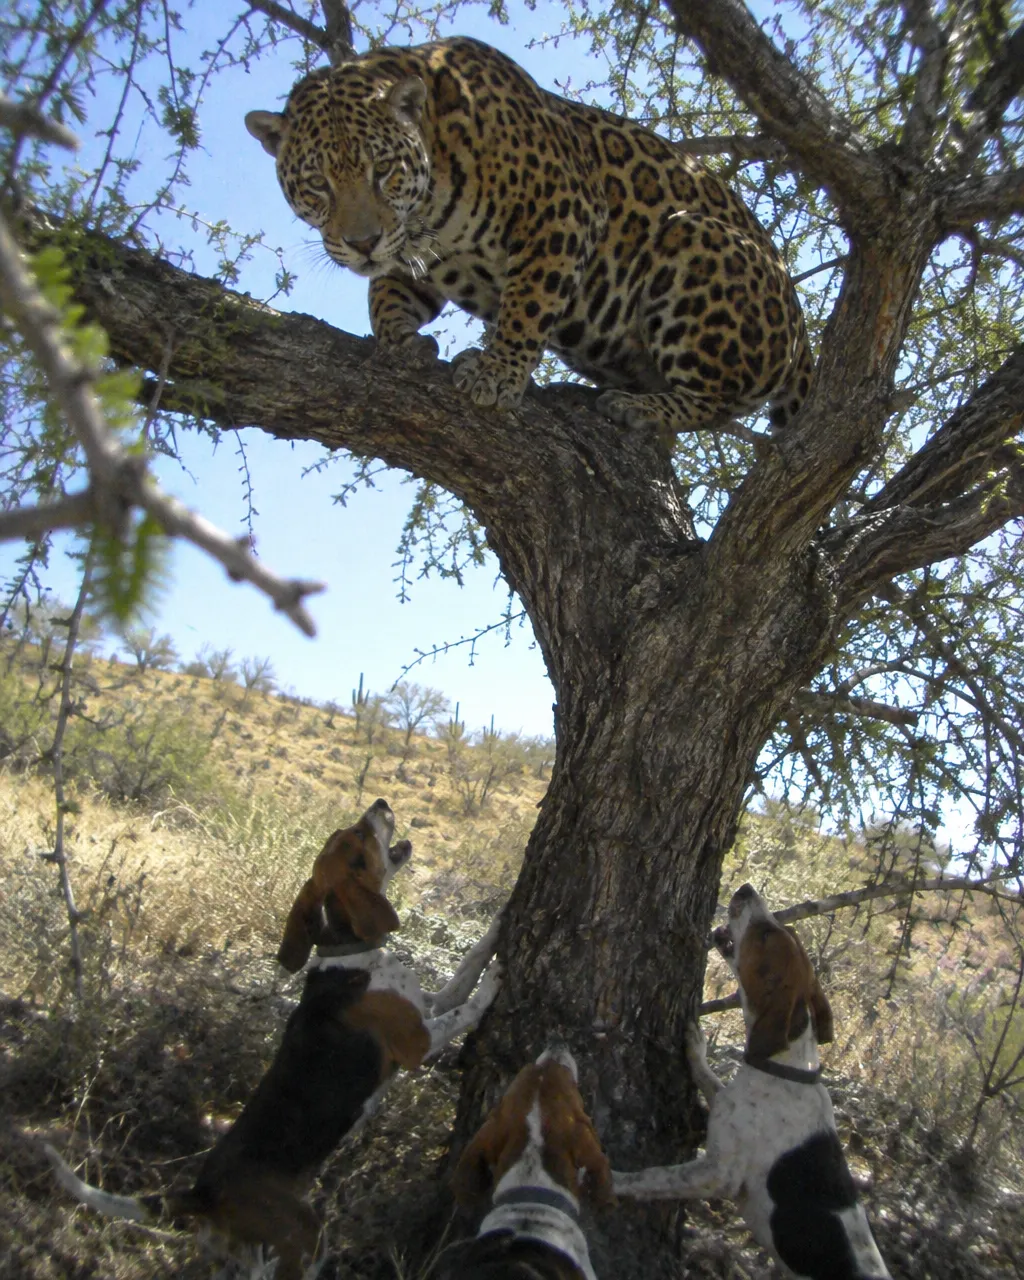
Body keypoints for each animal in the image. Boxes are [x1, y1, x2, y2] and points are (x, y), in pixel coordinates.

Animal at [245, 36, 813, 442]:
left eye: (382, 170)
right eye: (318, 183)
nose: (361, 242)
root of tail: (800, 326)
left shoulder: (562, 210)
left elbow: (528, 300)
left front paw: (497, 373)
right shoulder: (411, 252)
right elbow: (385, 294)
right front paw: (399, 342)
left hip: (693, 237)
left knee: (718, 402)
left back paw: (639, 408)